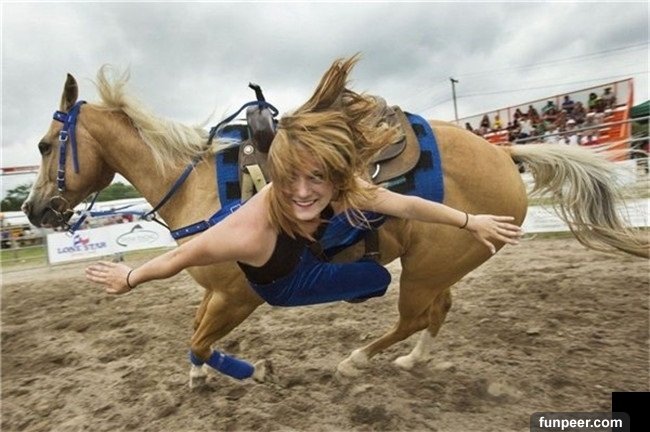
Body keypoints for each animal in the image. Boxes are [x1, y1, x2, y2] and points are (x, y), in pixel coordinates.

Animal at [22, 66, 648, 387]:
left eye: (48, 145)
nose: (32, 210)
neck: (201, 187)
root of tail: (505, 156)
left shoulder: (238, 296)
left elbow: (200, 338)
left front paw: (249, 370)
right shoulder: (216, 291)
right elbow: (194, 335)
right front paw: (201, 377)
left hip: (424, 269)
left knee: (415, 314)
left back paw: (356, 360)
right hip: (440, 266)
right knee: (437, 312)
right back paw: (412, 361)